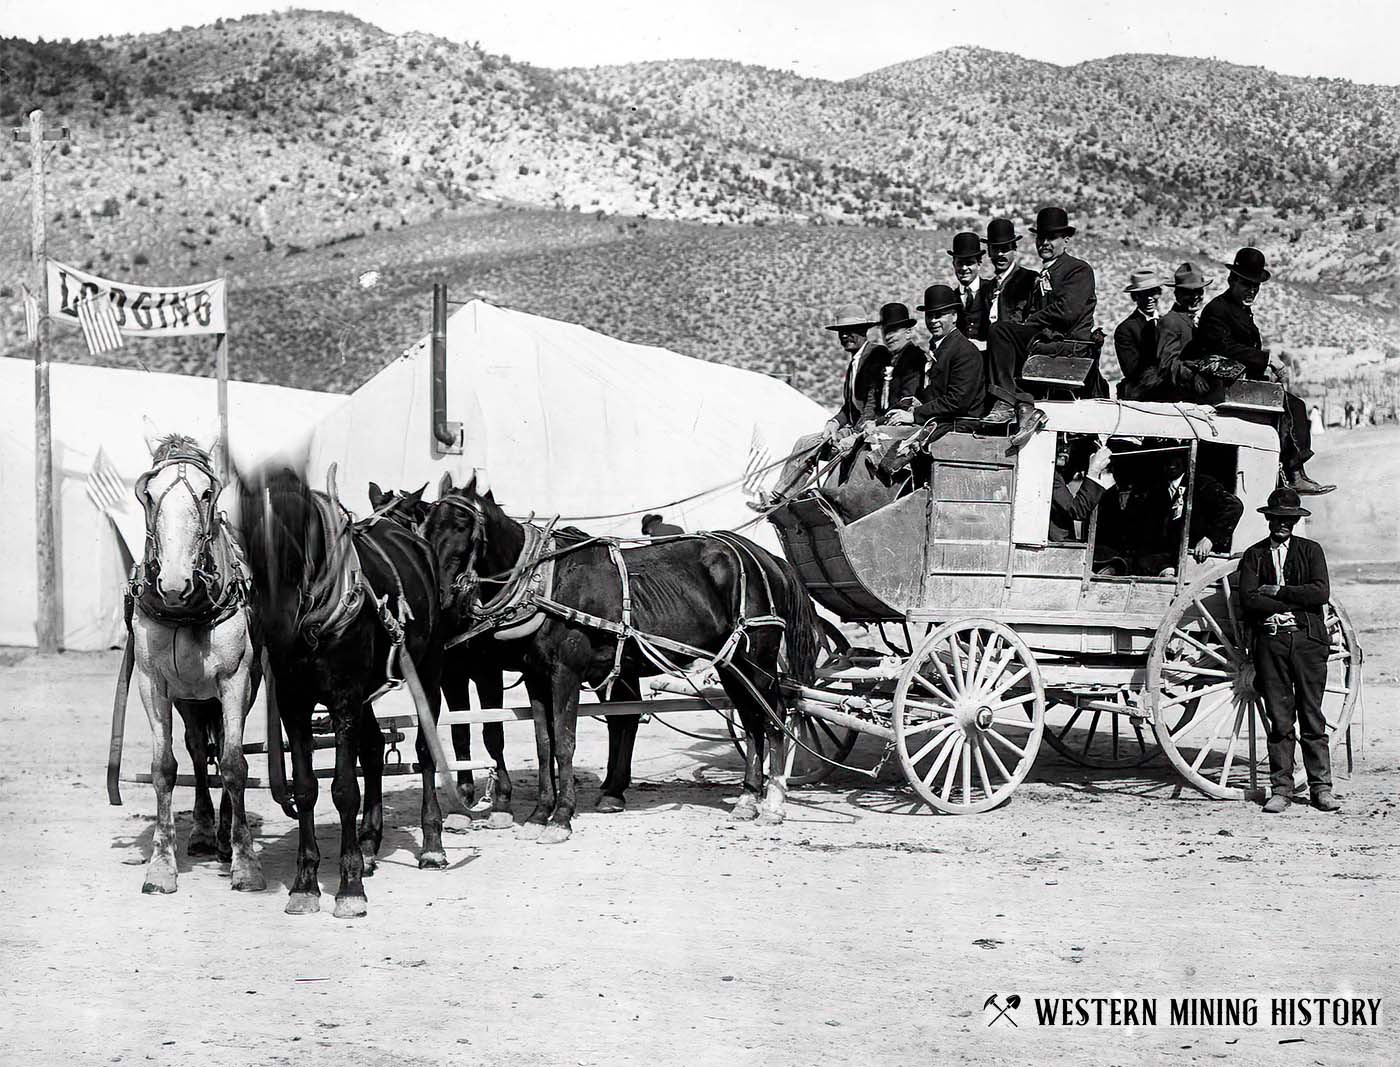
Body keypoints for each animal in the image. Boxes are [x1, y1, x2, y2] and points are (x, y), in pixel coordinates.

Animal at [130, 420, 264, 896]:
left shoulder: (235, 680)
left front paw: (245, 863)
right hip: (190, 697)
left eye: (208, 493)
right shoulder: (152, 683)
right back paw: (205, 831)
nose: (173, 584)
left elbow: (234, 763)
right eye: (149, 494)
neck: (186, 610)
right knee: (196, 750)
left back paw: (223, 837)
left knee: (219, 749)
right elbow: (165, 768)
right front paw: (160, 866)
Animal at [235, 464, 442, 912]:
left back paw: (433, 845)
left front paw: (349, 887)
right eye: (247, 534)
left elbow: (345, 788)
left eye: (296, 533)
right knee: (375, 748)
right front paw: (305, 882)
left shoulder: (345, 699)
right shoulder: (294, 703)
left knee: (425, 751)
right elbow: (306, 788)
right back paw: (368, 846)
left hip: (429, 670)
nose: (275, 624)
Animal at [417, 473, 817, 840]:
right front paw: (539, 813)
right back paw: (748, 798)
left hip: (758, 658)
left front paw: (561, 817)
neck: (543, 581)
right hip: (732, 664)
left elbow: (564, 743)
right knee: (751, 720)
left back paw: (773, 802)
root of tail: (768, 558)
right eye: (427, 526)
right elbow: (544, 744)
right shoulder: (536, 676)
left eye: (462, 525)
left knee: (775, 717)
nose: (439, 594)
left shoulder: (566, 672)